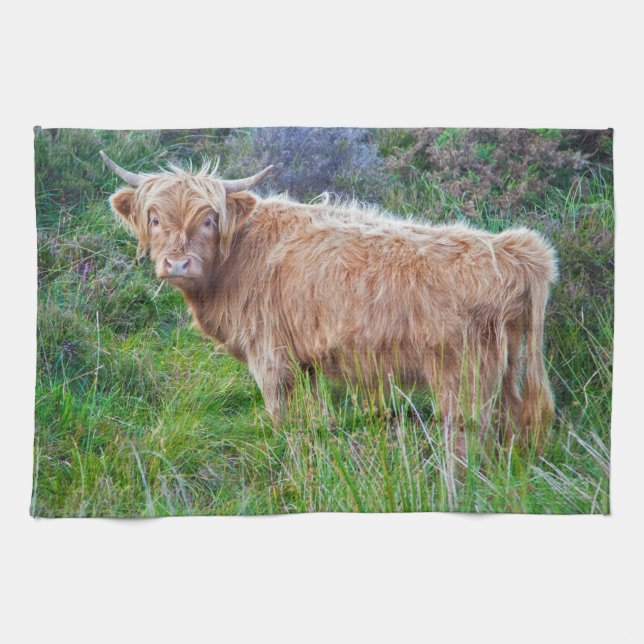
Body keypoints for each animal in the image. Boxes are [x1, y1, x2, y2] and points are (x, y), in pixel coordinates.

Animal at [101, 151, 557, 453]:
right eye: (154, 219)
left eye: (209, 220)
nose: (177, 263)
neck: (236, 260)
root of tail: (516, 250)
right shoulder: (306, 361)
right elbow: (317, 414)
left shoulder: (269, 356)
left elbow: (280, 416)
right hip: (508, 367)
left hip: (464, 376)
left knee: (468, 439)